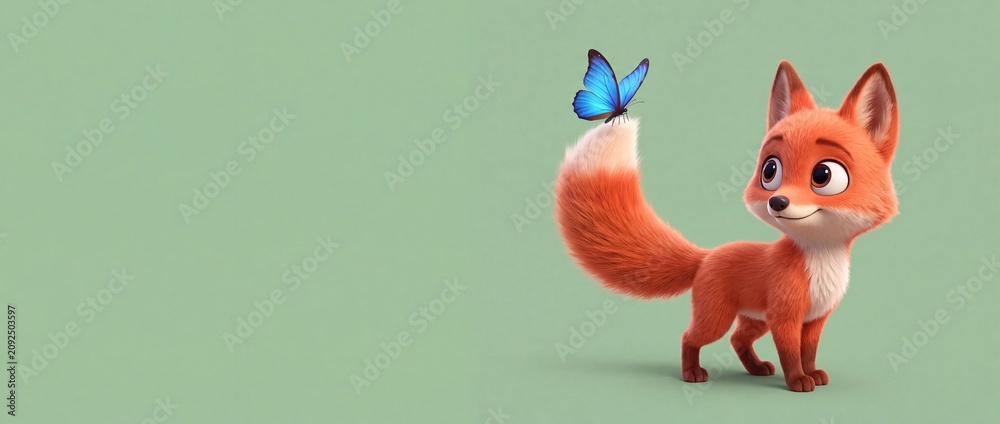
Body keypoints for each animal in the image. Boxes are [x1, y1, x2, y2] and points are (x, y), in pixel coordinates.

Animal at [555, 61, 900, 392]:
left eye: (823, 175)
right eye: (770, 170)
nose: (778, 202)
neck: (820, 259)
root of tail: (707, 256)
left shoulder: (815, 320)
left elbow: (809, 352)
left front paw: (813, 373)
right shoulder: (785, 318)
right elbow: (791, 355)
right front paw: (798, 382)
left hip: (754, 319)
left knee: (736, 339)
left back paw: (756, 369)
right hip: (718, 318)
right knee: (689, 337)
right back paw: (691, 373)